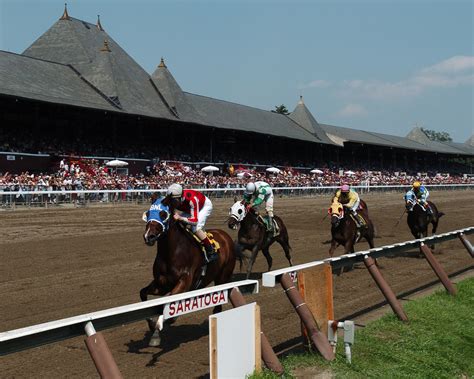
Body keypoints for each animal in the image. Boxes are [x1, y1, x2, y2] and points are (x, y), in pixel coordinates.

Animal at [142, 196, 236, 348]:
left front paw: (159, 327)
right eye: (148, 213)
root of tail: (225, 235)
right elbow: (143, 294)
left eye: (163, 214)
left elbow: (168, 301)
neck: (171, 253)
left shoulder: (184, 283)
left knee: (219, 303)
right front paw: (153, 325)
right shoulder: (161, 284)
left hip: (223, 277)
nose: (148, 236)